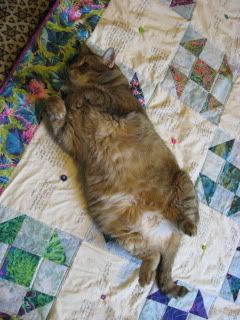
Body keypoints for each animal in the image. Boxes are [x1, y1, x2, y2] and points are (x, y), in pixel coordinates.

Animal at [44, 43, 199, 298]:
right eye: (71, 62)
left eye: (84, 64)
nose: (69, 69)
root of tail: (163, 228)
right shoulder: (68, 135)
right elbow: (55, 107)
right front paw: (56, 100)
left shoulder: (116, 102)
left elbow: (91, 92)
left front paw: (73, 95)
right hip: (124, 233)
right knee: (155, 257)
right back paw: (146, 278)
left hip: (183, 184)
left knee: (185, 219)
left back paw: (189, 227)